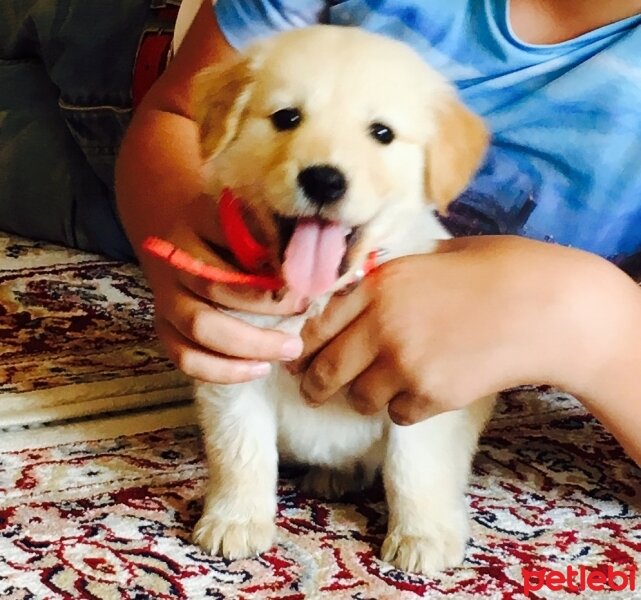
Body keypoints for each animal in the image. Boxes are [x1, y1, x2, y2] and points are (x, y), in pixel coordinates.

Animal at [190, 24, 496, 576]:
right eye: (286, 118)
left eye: (382, 133)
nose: (324, 179)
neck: (320, 295)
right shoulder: (234, 366)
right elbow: (242, 451)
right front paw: (236, 519)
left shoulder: (420, 389)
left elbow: (413, 467)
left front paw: (421, 534)